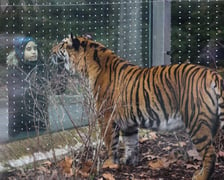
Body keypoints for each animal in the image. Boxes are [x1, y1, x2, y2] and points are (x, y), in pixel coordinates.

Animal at [50, 34, 224, 180]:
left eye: (62, 44)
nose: (51, 50)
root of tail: (213, 74)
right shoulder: (129, 121)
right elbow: (131, 143)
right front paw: (128, 162)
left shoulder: (106, 116)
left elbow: (110, 142)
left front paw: (109, 164)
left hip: (197, 122)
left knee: (210, 153)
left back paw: (200, 176)